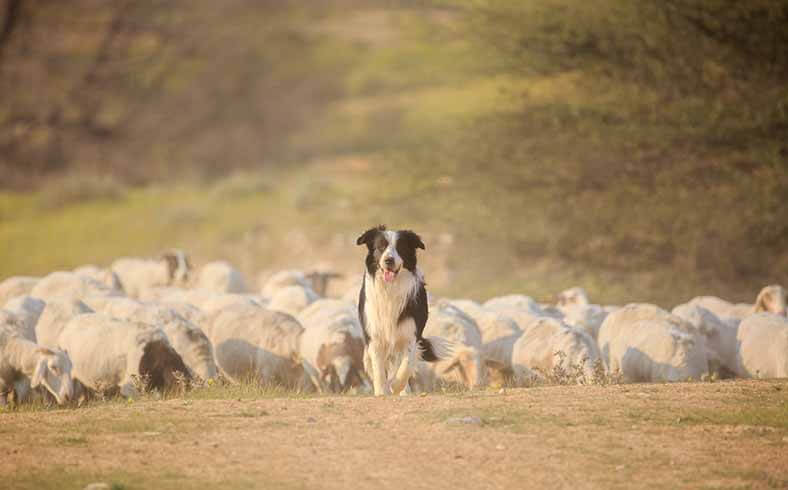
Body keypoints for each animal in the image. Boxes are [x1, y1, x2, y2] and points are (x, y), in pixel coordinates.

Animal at [356, 225, 440, 394]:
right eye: (380, 247)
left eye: (400, 247)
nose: (389, 260)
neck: (390, 288)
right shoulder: (375, 334)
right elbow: (379, 369)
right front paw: (381, 392)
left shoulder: (411, 334)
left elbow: (406, 365)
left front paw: (396, 386)